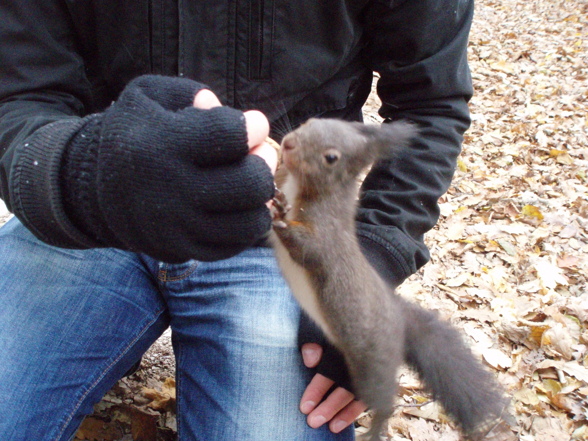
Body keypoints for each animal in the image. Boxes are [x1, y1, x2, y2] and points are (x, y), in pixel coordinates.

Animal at [268, 118, 508, 438]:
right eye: (310, 122)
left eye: (331, 157)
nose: (289, 143)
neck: (303, 188)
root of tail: (399, 318)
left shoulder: (326, 237)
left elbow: (307, 248)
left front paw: (281, 218)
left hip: (374, 363)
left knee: (384, 399)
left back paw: (375, 429)